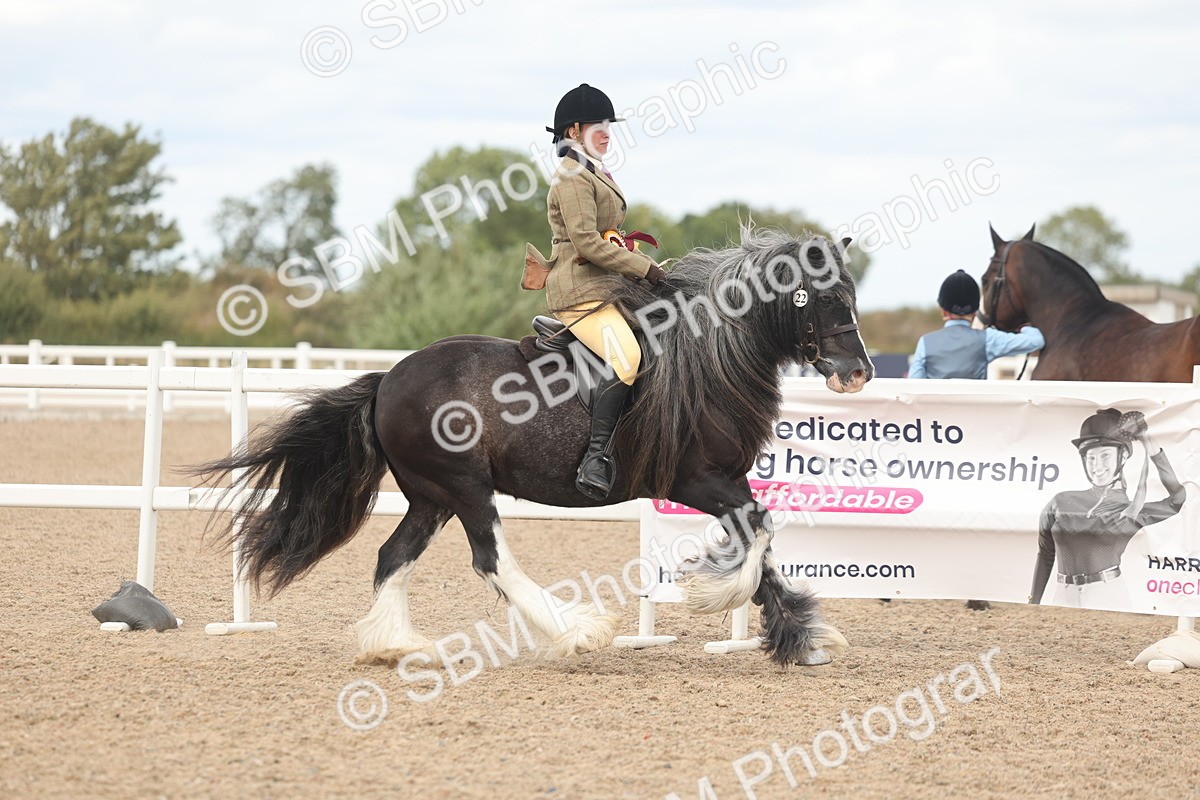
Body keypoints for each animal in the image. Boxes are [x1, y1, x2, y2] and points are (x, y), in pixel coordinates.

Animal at [189, 228, 874, 668]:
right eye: (820, 296)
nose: (857, 372)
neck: (705, 355)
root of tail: (388, 379)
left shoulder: (724, 481)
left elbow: (762, 539)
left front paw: (800, 635)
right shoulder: (695, 481)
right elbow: (757, 534)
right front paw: (718, 593)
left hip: (432, 496)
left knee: (393, 556)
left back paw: (396, 646)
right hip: (465, 487)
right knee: (491, 560)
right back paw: (578, 632)